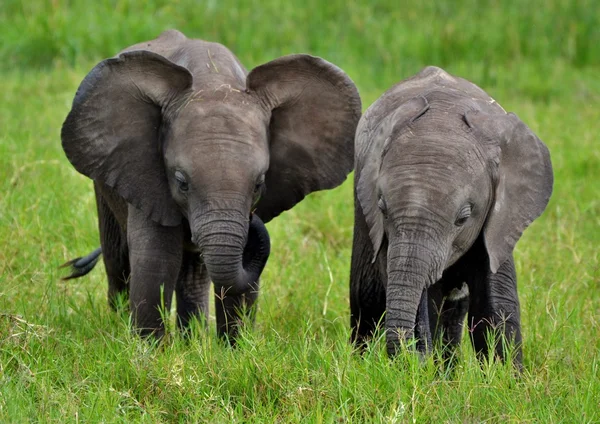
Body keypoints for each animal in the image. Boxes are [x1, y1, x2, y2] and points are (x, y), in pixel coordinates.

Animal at [61, 29, 360, 342]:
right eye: (181, 182)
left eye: (259, 184)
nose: (254, 220)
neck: (213, 81)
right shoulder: (145, 173)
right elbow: (156, 261)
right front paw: (149, 349)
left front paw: (236, 349)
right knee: (118, 260)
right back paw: (121, 325)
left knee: (193, 274)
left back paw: (191, 341)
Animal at [352, 64, 552, 366]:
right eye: (382, 207)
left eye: (463, 218)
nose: (415, 356)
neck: (442, 118)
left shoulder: (500, 221)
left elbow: (493, 307)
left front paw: (507, 376)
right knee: (366, 300)